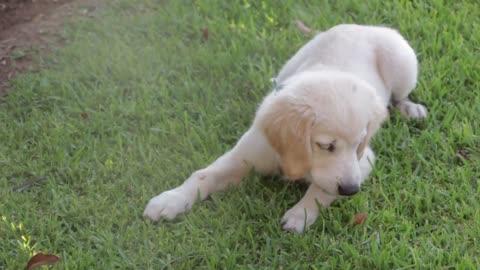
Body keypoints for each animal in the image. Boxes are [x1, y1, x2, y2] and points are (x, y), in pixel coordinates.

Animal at [142, 24, 428, 233]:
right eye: (325, 145)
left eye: (359, 144)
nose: (351, 191)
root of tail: (362, 26)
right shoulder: (246, 153)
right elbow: (203, 175)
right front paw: (171, 199)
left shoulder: (363, 160)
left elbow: (321, 189)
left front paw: (300, 214)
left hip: (403, 63)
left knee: (399, 96)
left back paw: (410, 109)